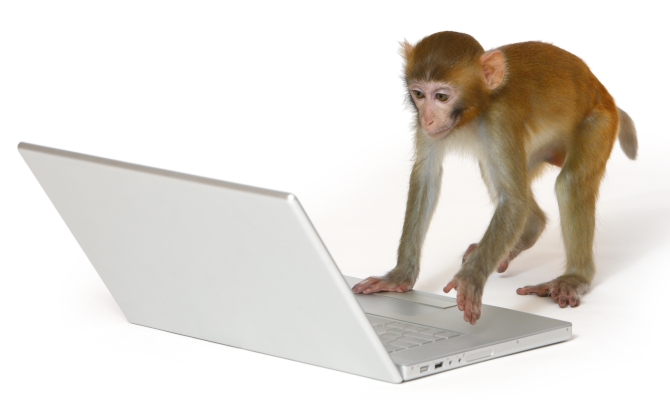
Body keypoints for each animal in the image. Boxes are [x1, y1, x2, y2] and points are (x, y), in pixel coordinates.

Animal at [352, 31, 638, 325]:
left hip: (600, 124)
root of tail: (604, 93)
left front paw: (472, 277)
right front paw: (400, 275)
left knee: (570, 184)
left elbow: (513, 200)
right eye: (418, 94)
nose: (428, 119)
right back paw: (529, 230)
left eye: (441, 96)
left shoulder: (500, 119)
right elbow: (426, 178)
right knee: (494, 171)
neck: (475, 109)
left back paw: (575, 277)